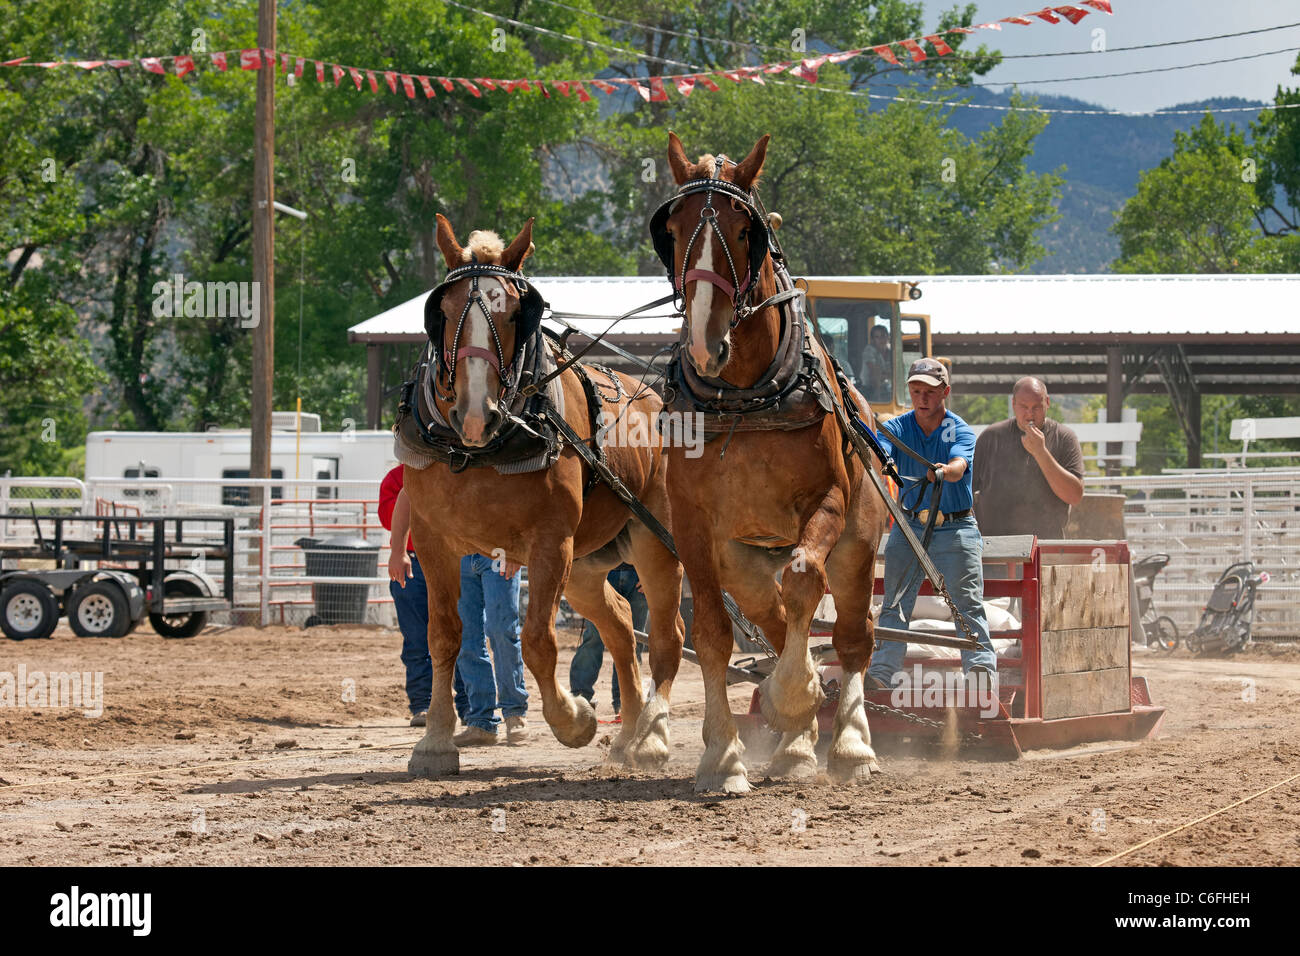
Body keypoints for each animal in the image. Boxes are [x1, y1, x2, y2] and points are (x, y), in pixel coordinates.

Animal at [397, 217, 686, 780]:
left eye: (515, 313)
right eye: (443, 311)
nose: (475, 413)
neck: (481, 451)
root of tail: (659, 399)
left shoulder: (551, 543)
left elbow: (537, 641)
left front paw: (574, 720)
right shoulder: (432, 538)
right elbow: (444, 635)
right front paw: (435, 743)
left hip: (652, 543)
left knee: (668, 635)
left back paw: (652, 738)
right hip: (586, 566)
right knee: (621, 623)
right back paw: (629, 735)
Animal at [660, 132, 894, 790]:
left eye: (746, 232)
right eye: (673, 227)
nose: (705, 343)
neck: (746, 397)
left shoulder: (829, 505)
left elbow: (805, 579)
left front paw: (798, 702)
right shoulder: (692, 525)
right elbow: (713, 633)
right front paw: (723, 756)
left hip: (858, 545)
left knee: (850, 633)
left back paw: (847, 743)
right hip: (740, 559)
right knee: (773, 616)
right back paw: (795, 741)